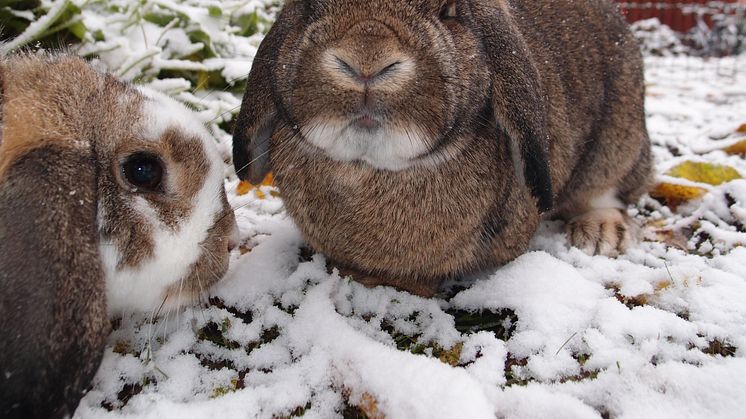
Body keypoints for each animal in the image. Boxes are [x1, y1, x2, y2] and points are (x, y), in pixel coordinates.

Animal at [232, 1, 652, 298]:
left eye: (448, 10)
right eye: (309, 6)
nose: (366, 60)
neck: (369, 167)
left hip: (619, 140)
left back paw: (600, 234)